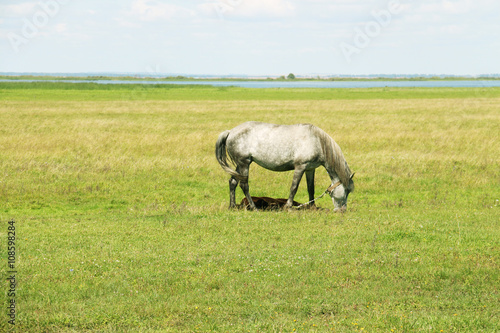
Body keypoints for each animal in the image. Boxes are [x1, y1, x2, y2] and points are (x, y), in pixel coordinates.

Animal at [215, 121, 356, 210]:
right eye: (346, 191)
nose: (342, 210)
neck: (316, 141)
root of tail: (230, 132)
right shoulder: (300, 167)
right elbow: (294, 187)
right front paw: (288, 206)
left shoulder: (310, 169)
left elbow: (311, 188)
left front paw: (312, 207)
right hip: (244, 163)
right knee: (244, 185)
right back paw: (254, 208)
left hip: (239, 165)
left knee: (233, 182)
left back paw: (232, 206)